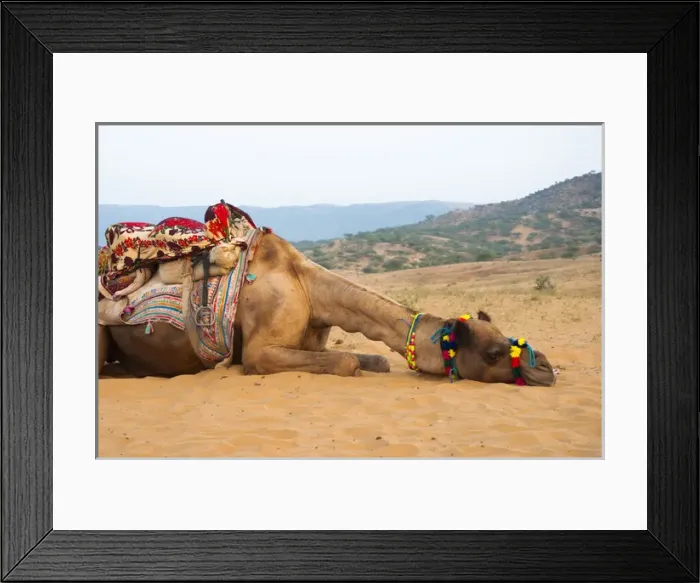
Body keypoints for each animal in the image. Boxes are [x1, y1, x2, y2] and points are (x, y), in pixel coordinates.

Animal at [98, 230, 557, 386]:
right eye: (494, 353)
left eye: (508, 337)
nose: (547, 369)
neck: (310, 289)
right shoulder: (259, 353)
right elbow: (347, 364)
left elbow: (372, 359)